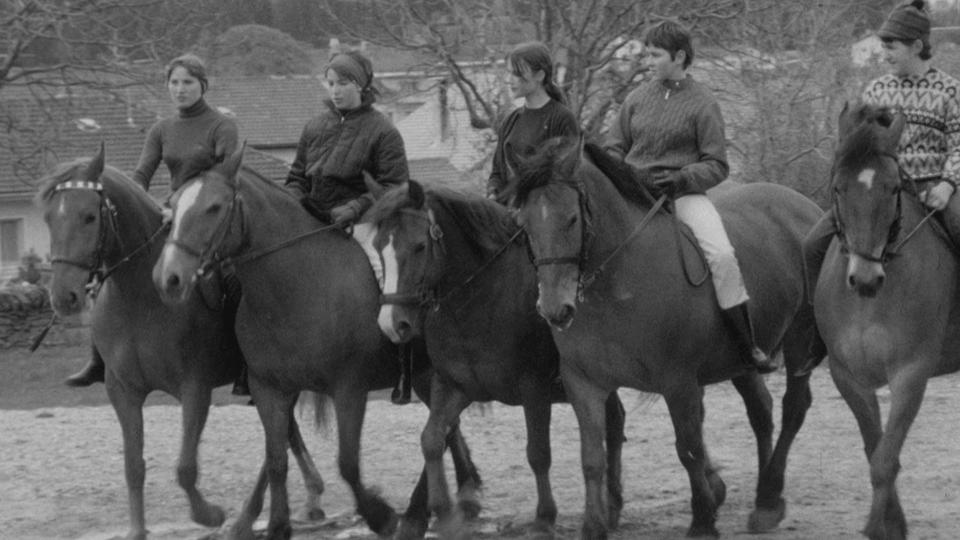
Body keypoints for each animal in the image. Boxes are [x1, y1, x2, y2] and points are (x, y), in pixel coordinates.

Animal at [35, 147, 326, 540]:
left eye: (89, 216)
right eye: (49, 218)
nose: (63, 297)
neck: (142, 298)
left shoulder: (195, 389)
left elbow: (185, 467)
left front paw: (210, 515)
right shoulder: (123, 391)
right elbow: (133, 465)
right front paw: (137, 531)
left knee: (276, 442)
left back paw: (250, 517)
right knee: (284, 434)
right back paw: (309, 495)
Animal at [155, 150, 484, 540]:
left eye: (214, 207)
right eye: (174, 205)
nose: (169, 276)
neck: (298, 287)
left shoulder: (349, 389)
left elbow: (348, 464)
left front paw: (380, 515)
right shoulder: (269, 389)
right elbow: (277, 460)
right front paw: (278, 526)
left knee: (442, 431)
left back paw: (431, 509)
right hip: (424, 375)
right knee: (446, 430)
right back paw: (455, 499)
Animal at [368, 182, 632, 540]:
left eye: (420, 246)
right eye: (378, 247)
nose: (392, 324)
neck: (480, 299)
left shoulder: (534, 390)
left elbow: (538, 454)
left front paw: (544, 518)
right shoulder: (453, 387)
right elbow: (432, 439)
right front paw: (443, 512)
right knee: (615, 420)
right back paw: (611, 505)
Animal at [512, 140, 820, 540]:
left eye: (571, 219)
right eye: (524, 224)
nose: (554, 309)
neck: (617, 282)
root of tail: (806, 207)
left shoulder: (678, 383)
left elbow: (687, 448)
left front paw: (703, 520)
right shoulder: (585, 383)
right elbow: (592, 457)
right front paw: (594, 526)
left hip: (800, 339)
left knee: (793, 408)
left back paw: (768, 499)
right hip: (741, 360)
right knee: (761, 411)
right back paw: (764, 498)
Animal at [808, 102, 960, 540]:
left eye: (893, 189)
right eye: (838, 188)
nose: (866, 279)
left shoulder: (911, 374)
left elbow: (885, 459)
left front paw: (879, 527)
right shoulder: (848, 377)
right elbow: (874, 448)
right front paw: (894, 523)